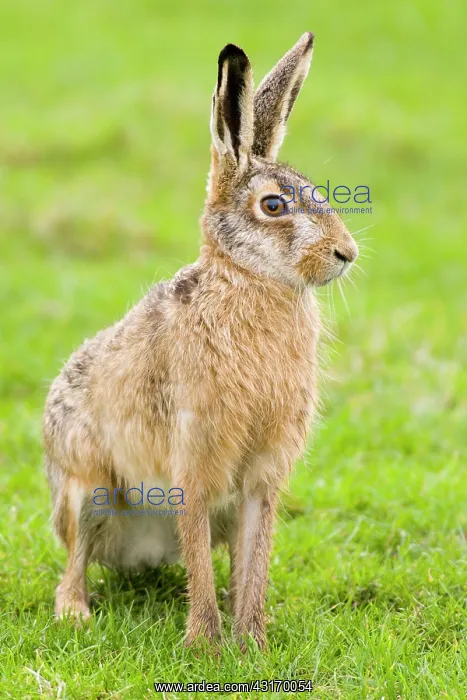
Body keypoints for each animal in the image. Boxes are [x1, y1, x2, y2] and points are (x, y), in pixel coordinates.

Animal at [43, 32, 358, 649]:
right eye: (273, 206)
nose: (346, 253)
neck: (250, 282)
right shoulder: (193, 453)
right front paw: (206, 648)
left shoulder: (262, 477)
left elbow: (256, 557)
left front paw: (252, 643)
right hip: (86, 489)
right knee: (76, 558)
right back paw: (75, 612)